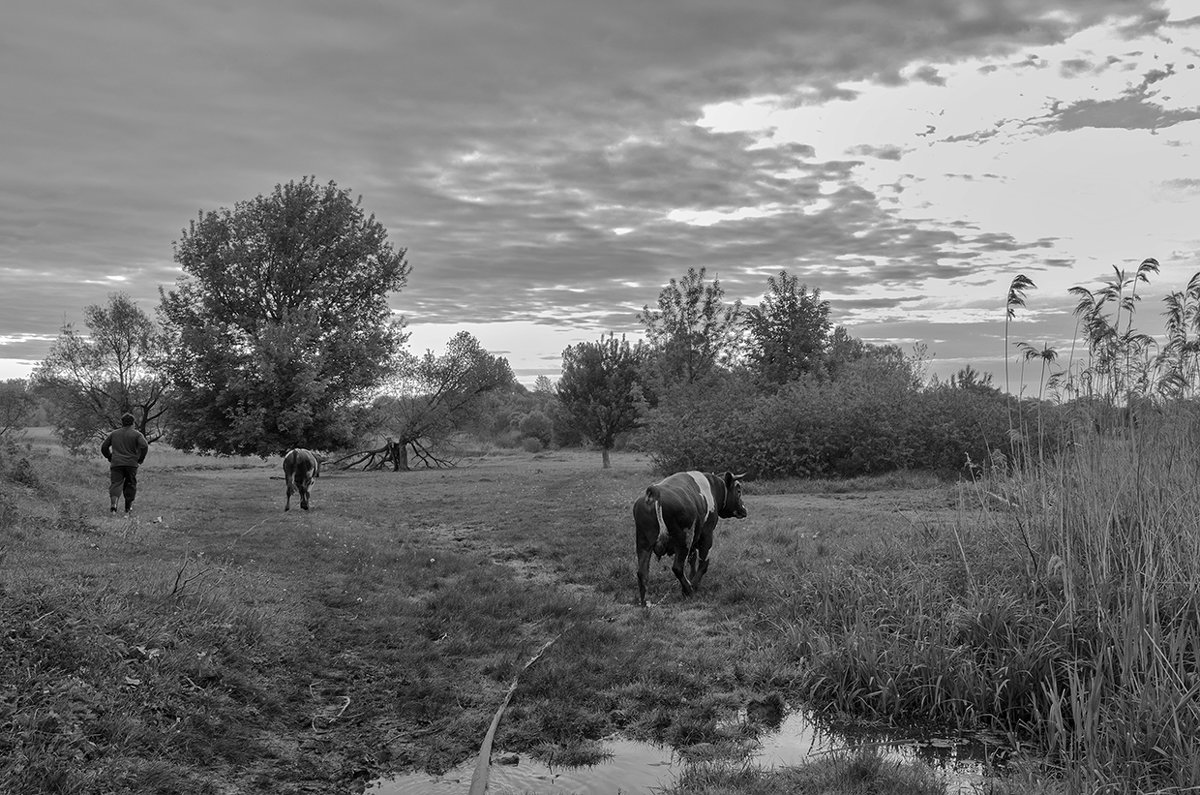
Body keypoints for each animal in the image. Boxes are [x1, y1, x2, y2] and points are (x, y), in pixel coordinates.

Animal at [633, 470, 744, 607]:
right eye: (738, 491)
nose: (744, 510)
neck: (712, 487)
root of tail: (655, 490)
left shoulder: (694, 541)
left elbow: (692, 559)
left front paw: (691, 578)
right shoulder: (706, 535)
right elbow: (703, 563)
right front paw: (694, 585)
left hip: (643, 544)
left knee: (642, 572)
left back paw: (645, 602)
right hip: (683, 540)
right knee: (677, 568)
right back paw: (688, 590)